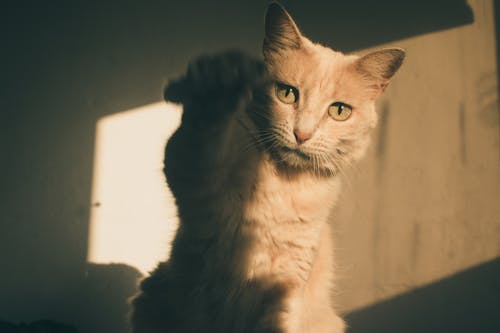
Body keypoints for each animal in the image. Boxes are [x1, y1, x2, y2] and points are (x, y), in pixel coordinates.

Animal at [131, 3, 404, 332]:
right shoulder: (197, 187)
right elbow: (198, 142)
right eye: (286, 93)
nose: (302, 134)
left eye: (339, 111)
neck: (281, 184)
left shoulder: (285, 281)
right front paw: (215, 86)